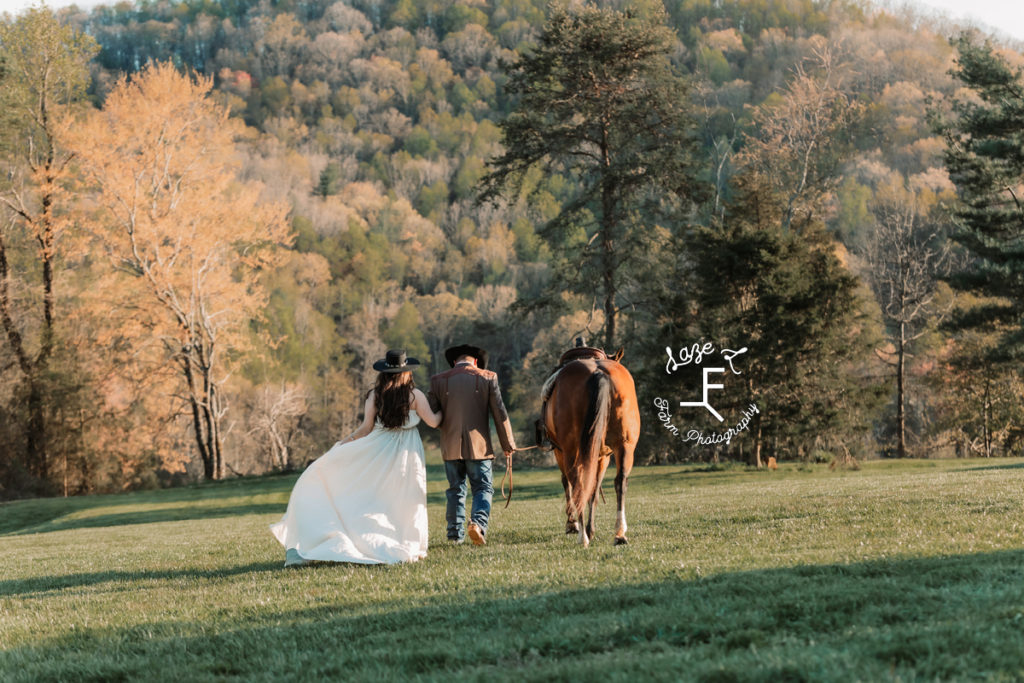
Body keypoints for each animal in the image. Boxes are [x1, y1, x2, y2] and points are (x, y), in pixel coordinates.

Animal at [544, 350, 638, 548]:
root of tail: (598, 372)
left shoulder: (560, 452)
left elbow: (569, 484)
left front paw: (573, 525)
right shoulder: (603, 457)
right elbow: (593, 492)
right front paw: (590, 528)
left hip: (571, 451)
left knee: (577, 483)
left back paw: (583, 537)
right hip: (625, 446)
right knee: (620, 482)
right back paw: (619, 533)